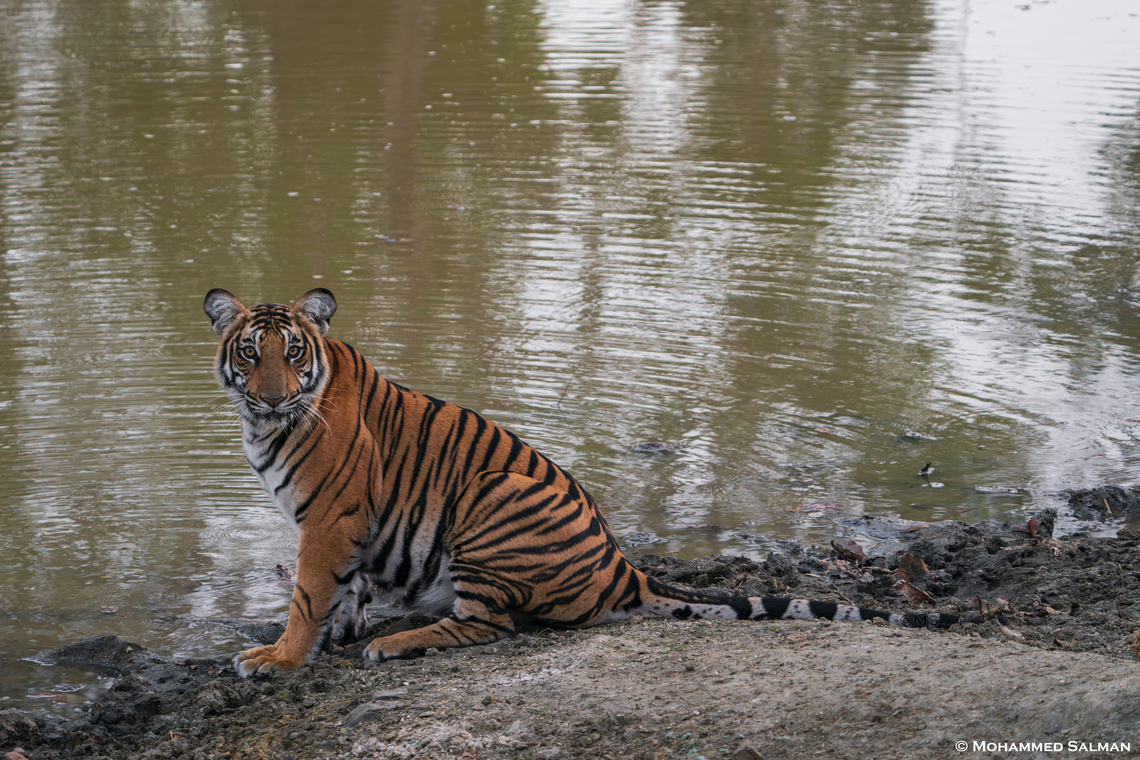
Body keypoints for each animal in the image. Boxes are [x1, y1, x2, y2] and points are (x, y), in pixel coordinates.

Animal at [204, 288, 982, 677]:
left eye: (291, 354)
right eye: (249, 354)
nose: (271, 397)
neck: (267, 425)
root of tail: (621, 566)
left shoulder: (329, 520)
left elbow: (308, 594)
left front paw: (279, 657)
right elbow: (345, 592)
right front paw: (333, 635)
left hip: (492, 495)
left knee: (486, 625)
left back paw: (397, 643)